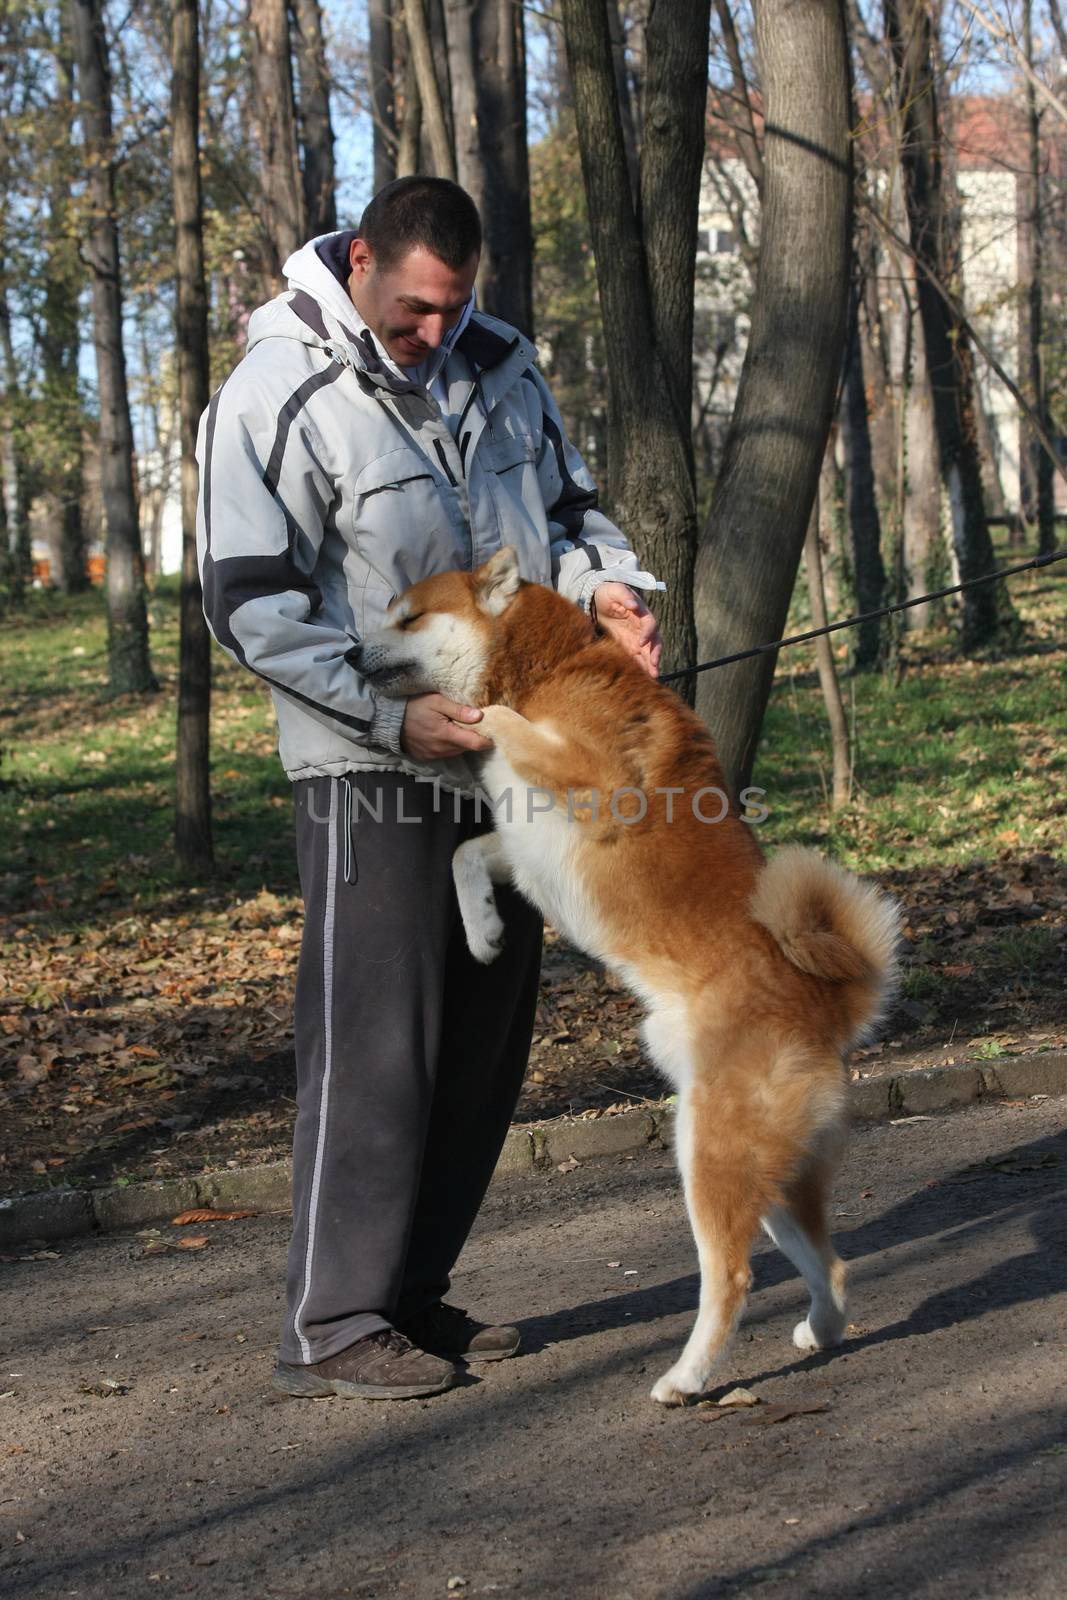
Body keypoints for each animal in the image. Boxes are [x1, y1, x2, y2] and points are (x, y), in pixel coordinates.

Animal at [361, 550, 902, 1401]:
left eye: (407, 617)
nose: (349, 655)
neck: (550, 668)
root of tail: (822, 1006)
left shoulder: (584, 777)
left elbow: (501, 728)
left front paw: (486, 719)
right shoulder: (523, 844)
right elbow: (464, 857)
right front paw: (482, 933)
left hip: (709, 1155)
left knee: (732, 1279)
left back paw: (687, 1376)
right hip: (771, 1178)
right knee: (833, 1265)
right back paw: (819, 1332)